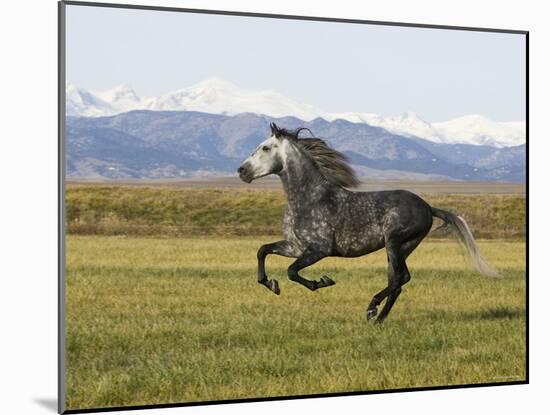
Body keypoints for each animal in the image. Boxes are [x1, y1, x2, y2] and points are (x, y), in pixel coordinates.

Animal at [237, 122, 500, 324]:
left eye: (265, 147)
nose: (242, 171)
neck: (310, 198)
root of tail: (427, 207)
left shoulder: (319, 249)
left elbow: (292, 271)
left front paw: (322, 281)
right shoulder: (296, 246)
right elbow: (262, 250)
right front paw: (271, 284)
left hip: (395, 242)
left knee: (402, 278)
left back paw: (372, 307)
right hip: (401, 248)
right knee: (397, 282)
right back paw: (378, 319)